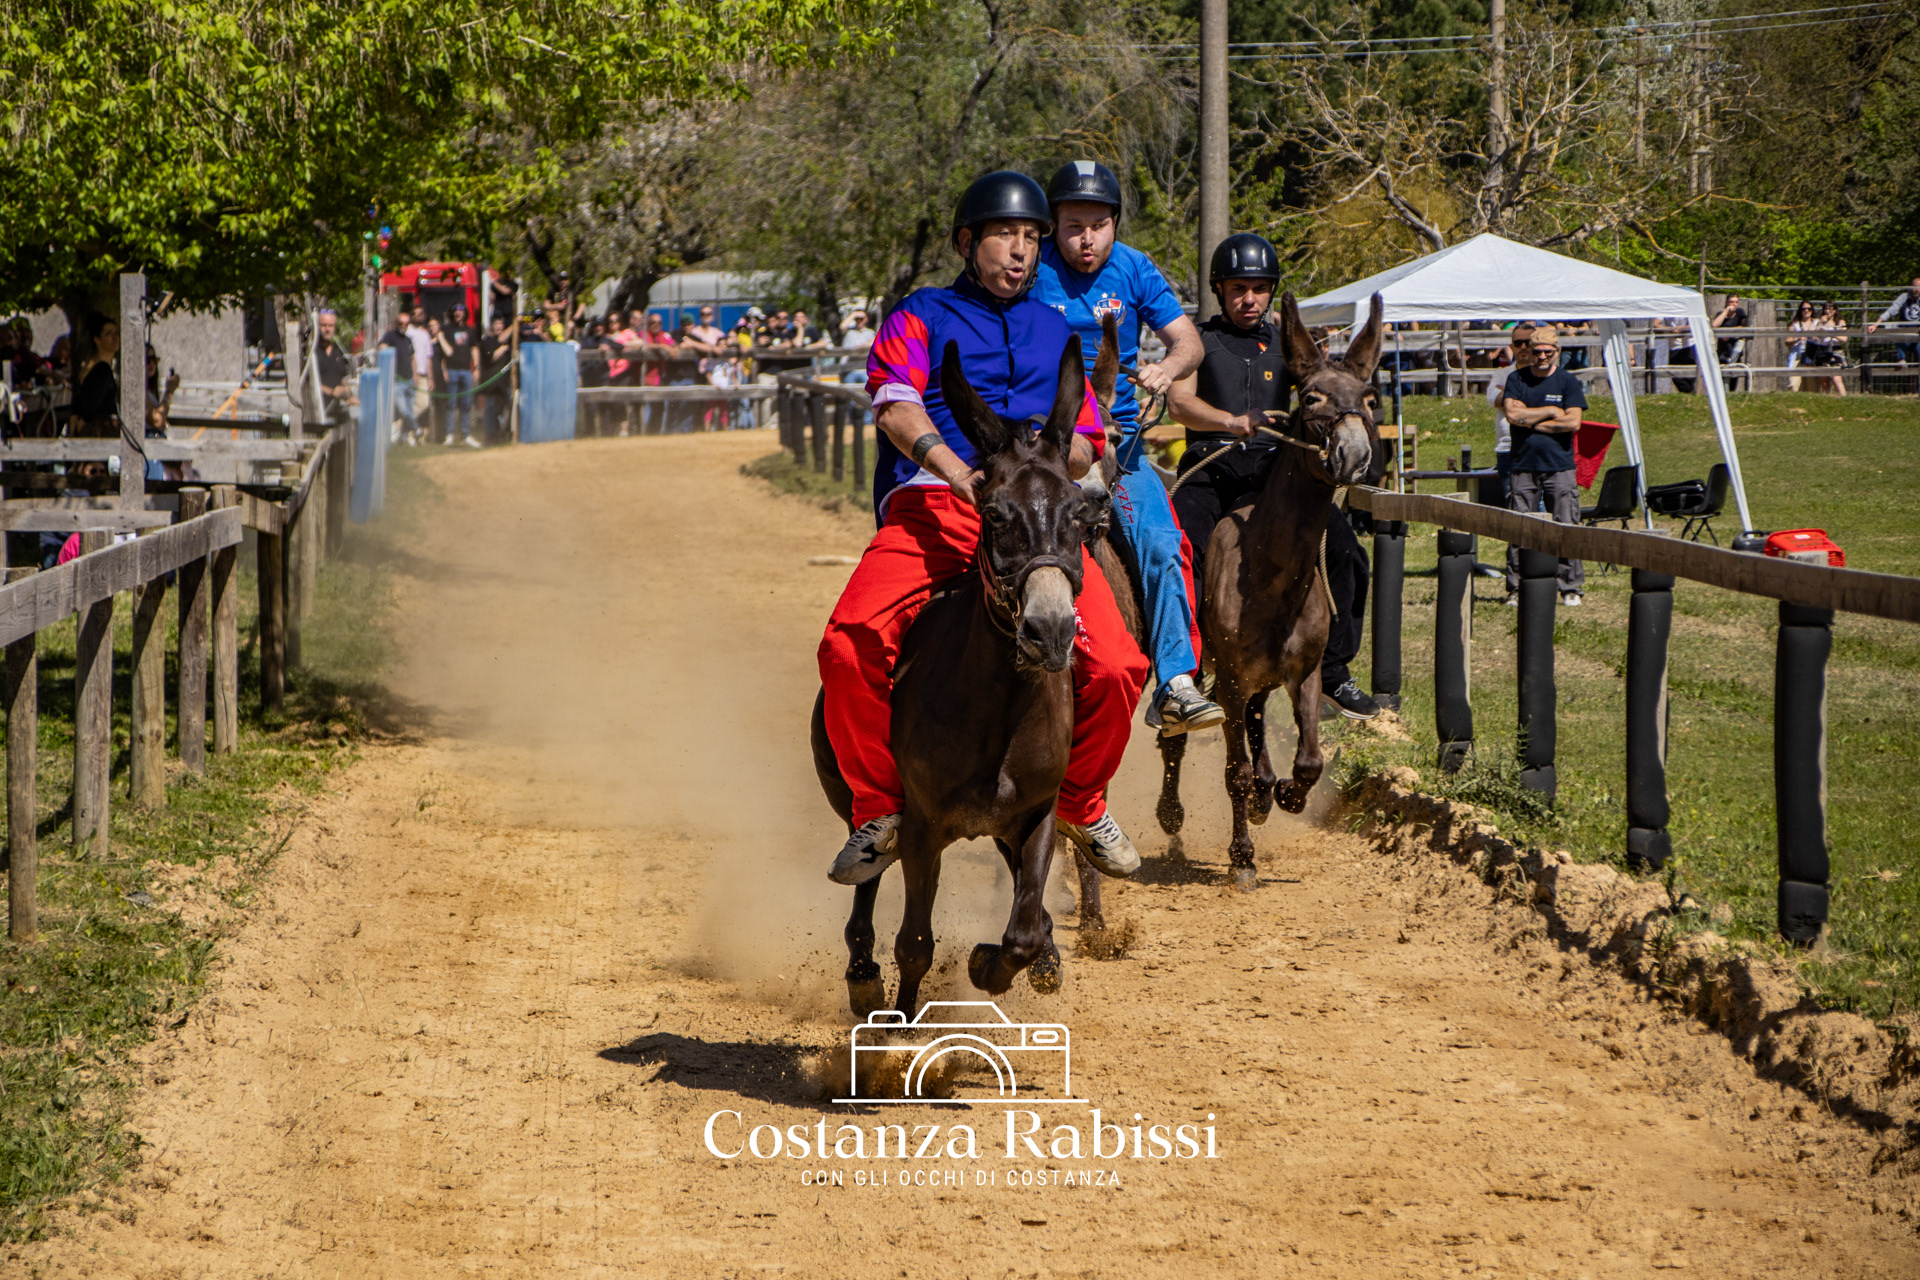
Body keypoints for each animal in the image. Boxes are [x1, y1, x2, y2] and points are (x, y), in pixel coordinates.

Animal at [1152, 291, 1385, 890]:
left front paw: (1283, 794)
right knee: (1176, 737)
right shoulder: (1232, 683)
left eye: (1368, 397)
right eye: (1313, 395)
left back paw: (1264, 790)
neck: (1270, 573)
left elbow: (1310, 761)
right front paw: (1242, 856)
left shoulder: (1303, 674)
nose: (1354, 454)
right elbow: (1231, 769)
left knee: (1257, 727)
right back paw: (1173, 812)